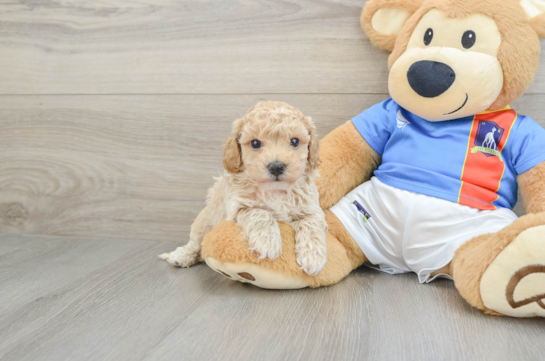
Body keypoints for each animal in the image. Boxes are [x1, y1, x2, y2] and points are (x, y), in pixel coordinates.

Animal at [158, 101, 328, 276]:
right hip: (203, 222)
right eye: (255, 143)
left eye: (295, 141)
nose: (276, 167)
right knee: (196, 244)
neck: (275, 191)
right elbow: (260, 213)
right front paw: (267, 242)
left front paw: (313, 257)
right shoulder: (238, 208)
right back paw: (181, 256)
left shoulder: (311, 208)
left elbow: (311, 225)